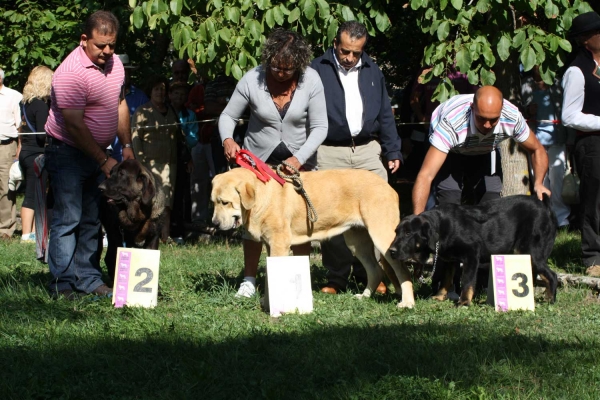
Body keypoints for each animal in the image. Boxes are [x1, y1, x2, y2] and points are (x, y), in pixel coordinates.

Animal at [210, 167, 412, 308]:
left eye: (225, 202)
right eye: (214, 202)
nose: (215, 224)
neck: (261, 197)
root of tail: (388, 186)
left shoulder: (279, 245)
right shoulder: (270, 245)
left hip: (382, 236)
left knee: (402, 270)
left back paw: (407, 303)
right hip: (357, 242)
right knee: (375, 270)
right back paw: (364, 296)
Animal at [390, 195, 556, 306]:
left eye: (408, 233)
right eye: (396, 232)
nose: (391, 251)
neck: (441, 228)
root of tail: (546, 209)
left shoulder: (471, 255)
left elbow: (467, 281)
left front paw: (464, 302)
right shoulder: (450, 260)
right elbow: (446, 279)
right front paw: (440, 296)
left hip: (532, 252)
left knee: (552, 275)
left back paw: (550, 300)